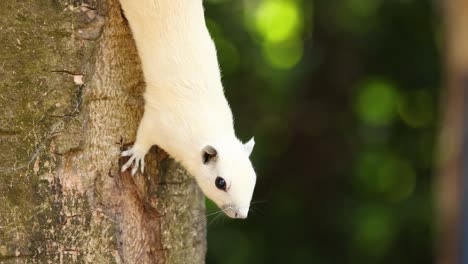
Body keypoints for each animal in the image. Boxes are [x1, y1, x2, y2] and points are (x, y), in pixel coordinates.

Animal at [117, 0, 256, 219]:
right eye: (220, 183)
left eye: (253, 179)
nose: (241, 215)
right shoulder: (162, 121)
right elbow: (145, 132)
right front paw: (137, 154)